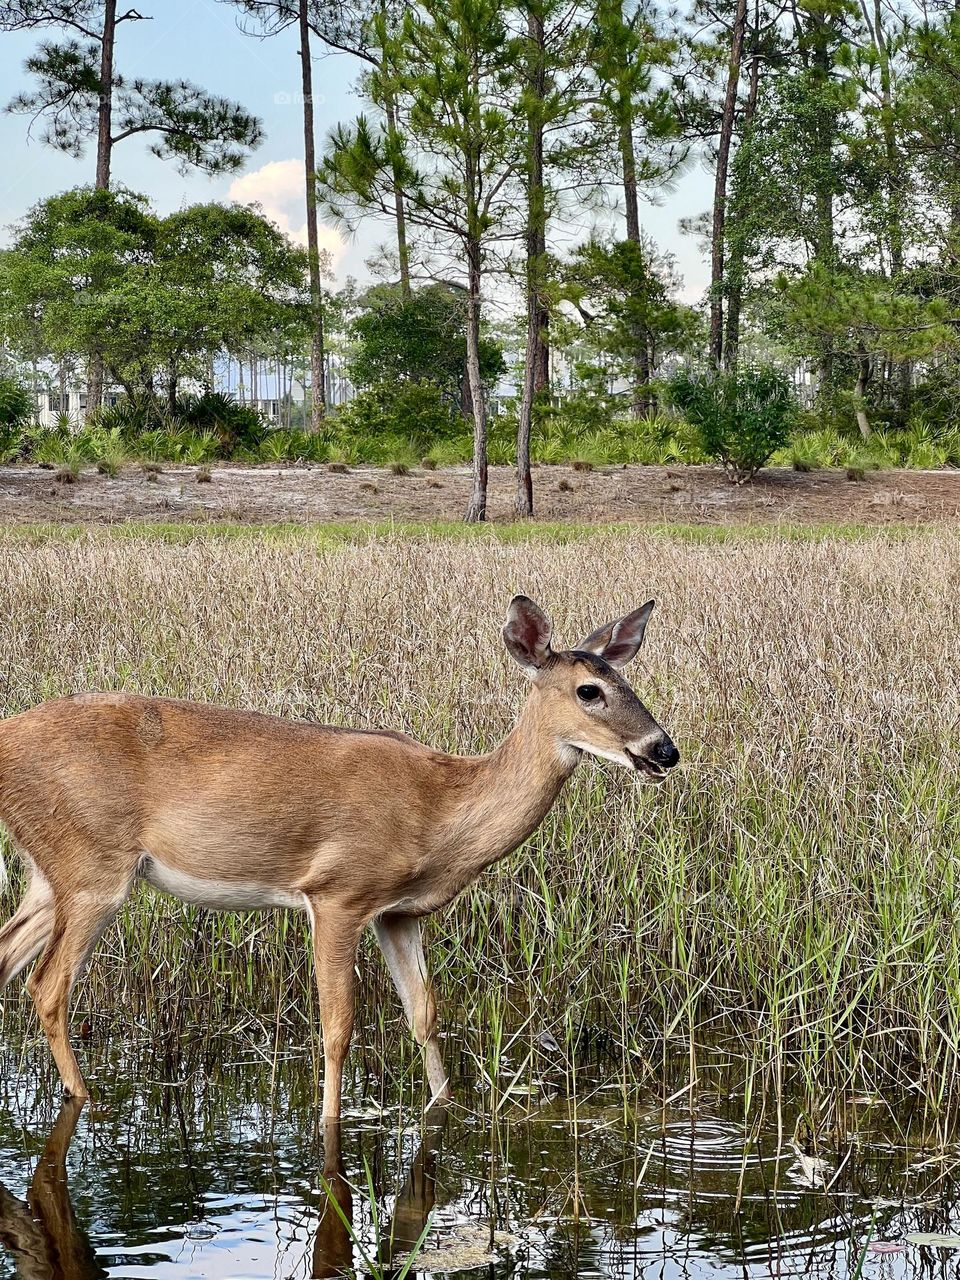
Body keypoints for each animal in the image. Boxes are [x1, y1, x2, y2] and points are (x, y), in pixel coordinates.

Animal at [0, 593, 686, 1116]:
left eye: (629, 681)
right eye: (589, 691)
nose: (664, 750)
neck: (441, 811)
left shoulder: (398, 914)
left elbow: (424, 1014)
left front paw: (443, 1110)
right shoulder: (337, 891)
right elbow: (338, 1027)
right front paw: (330, 1128)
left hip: (49, 872)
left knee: (10, 959)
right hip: (92, 865)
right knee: (48, 985)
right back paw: (83, 1100)